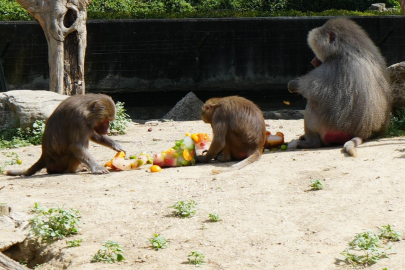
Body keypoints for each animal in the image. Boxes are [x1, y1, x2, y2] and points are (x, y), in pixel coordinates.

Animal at [286, 17, 390, 157]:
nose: (313, 61)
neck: (351, 49)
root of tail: (362, 132)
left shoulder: (333, 65)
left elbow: (309, 89)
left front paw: (292, 84)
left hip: (329, 125)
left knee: (313, 104)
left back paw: (310, 142)